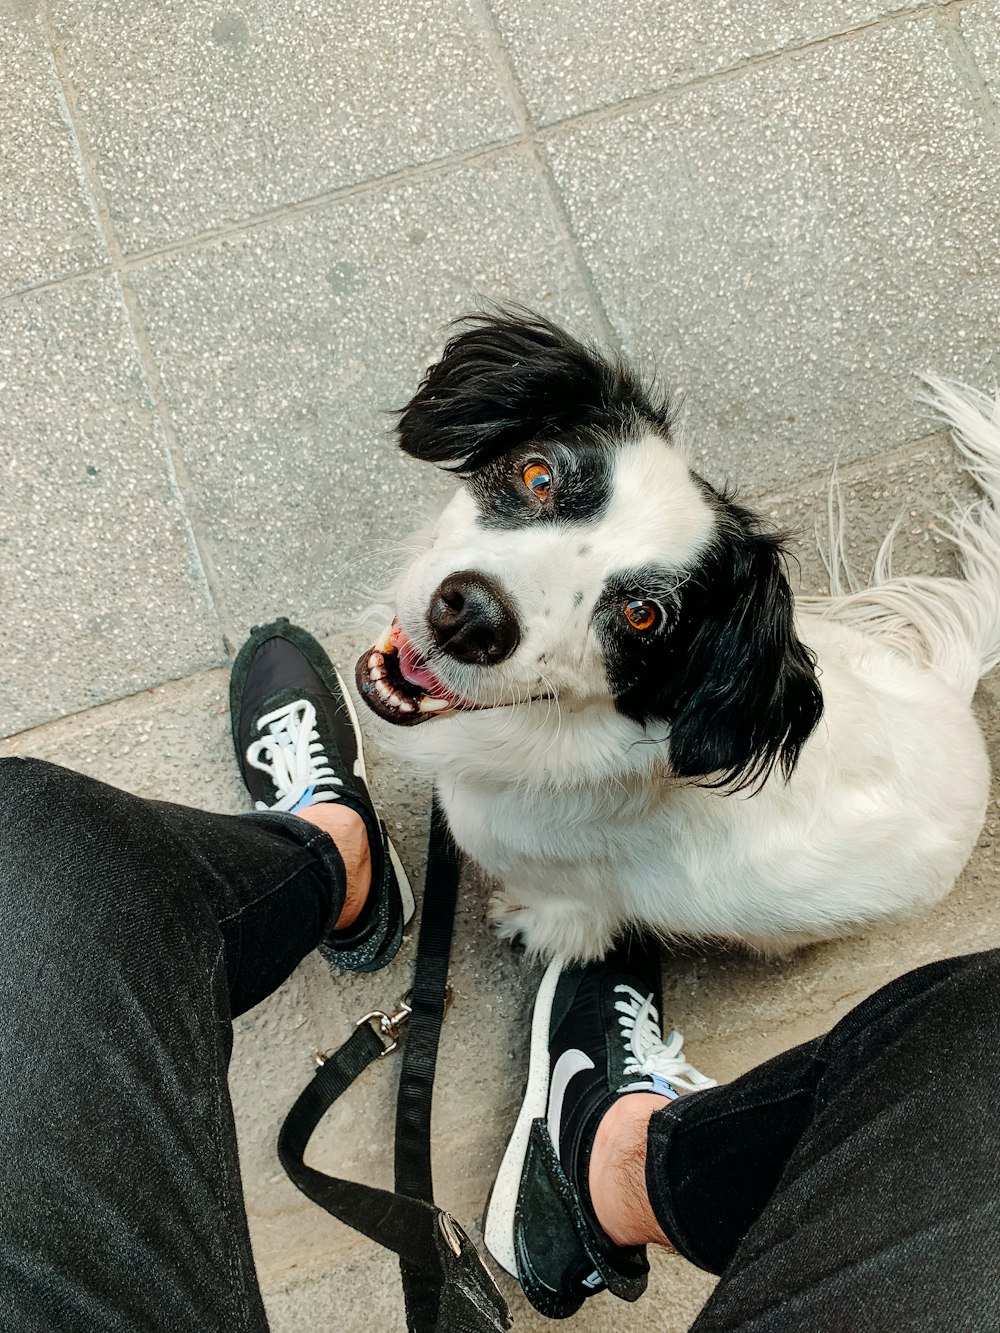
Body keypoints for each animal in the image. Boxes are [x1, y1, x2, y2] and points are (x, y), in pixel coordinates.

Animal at [357, 310, 997, 959]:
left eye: (643, 615)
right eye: (538, 476)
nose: (472, 619)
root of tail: (956, 698)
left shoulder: (563, 897)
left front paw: (518, 921)